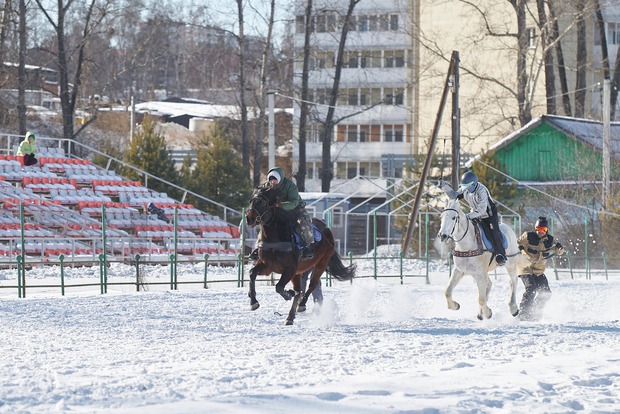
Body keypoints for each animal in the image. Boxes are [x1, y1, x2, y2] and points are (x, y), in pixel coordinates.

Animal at [246, 186, 356, 326]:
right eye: (250, 201)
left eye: (262, 202)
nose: (249, 218)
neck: (275, 237)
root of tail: (326, 228)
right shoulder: (267, 266)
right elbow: (252, 273)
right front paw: (253, 302)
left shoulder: (290, 268)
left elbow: (279, 287)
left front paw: (288, 294)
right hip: (301, 270)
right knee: (302, 290)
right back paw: (290, 317)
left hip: (321, 263)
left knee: (311, 285)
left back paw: (301, 305)